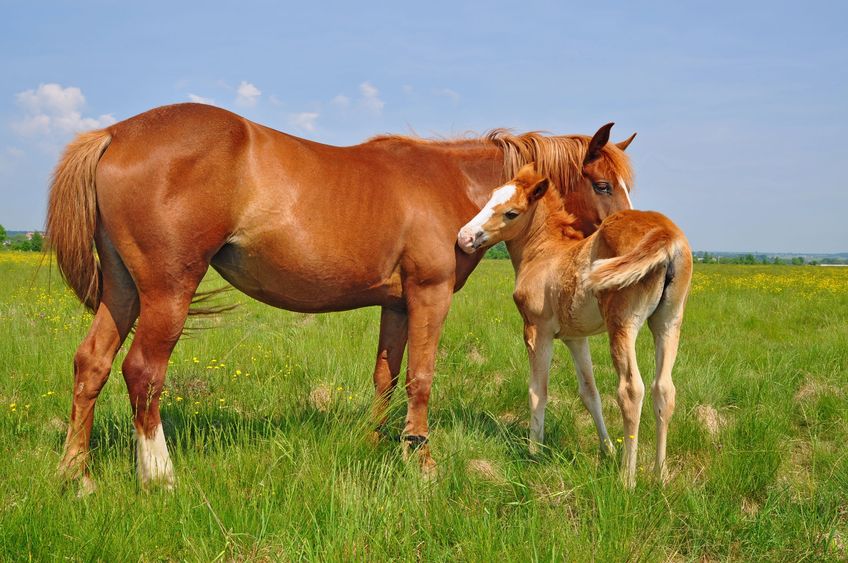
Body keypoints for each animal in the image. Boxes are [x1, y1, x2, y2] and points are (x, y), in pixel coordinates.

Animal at [46, 102, 632, 494]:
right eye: (603, 184)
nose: (625, 238)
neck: (458, 186)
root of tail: (115, 134)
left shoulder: (396, 304)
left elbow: (386, 377)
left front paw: (376, 446)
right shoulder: (430, 295)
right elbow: (421, 377)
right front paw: (423, 462)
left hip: (123, 290)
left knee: (92, 364)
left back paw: (77, 475)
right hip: (168, 290)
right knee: (143, 372)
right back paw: (159, 476)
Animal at [458, 164, 688, 490]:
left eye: (511, 213)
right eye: (491, 197)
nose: (464, 237)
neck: (543, 253)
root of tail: (664, 235)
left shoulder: (537, 331)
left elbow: (538, 390)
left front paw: (534, 451)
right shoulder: (575, 339)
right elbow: (590, 393)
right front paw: (607, 449)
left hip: (623, 325)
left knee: (631, 390)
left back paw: (627, 480)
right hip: (668, 322)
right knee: (664, 389)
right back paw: (661, 475)